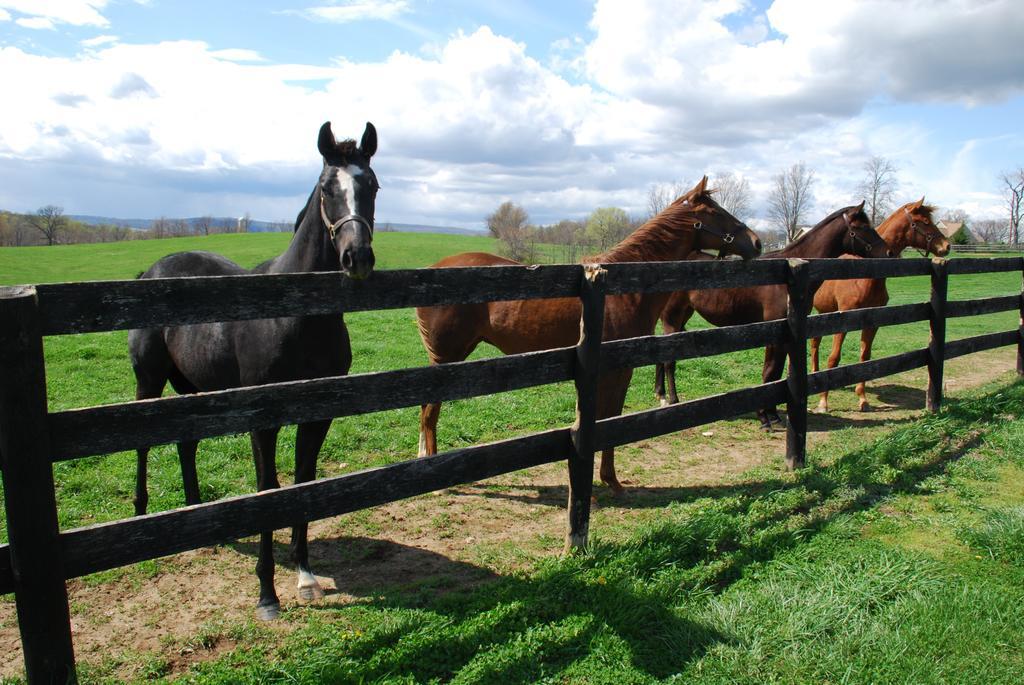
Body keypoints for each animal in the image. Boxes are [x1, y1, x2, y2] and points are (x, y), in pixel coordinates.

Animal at [128, 120, 380, 618]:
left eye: (374, 186)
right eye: (328, 188)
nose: (357, 258)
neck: (296, 316)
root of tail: (153, 269)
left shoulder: (318, 414)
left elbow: (303, 480)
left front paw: (304, 574)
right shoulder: (263, 419)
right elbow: (268, 487)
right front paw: (267, 592)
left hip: (195, 389)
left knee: (186, 444)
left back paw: (200, 519)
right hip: (149, 383)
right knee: (145, 444)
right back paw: (142, 513)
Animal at [413, 178, 761, 491]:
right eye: (716, 212)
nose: (756, 242)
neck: (624, 288)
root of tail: (430, 271)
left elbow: (612, 417)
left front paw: (609, 479)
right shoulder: (614, 370)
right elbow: (608, 420)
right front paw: (609, 480)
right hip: (446, 359)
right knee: (430, 411)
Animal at [655, 200, 888, 430]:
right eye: (862, 226)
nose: (886, 252)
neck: (786, 279)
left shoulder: (785, 335)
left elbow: (777, 372)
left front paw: (773, 415)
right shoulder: (772, 332)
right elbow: (769, 372)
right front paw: (764, 418)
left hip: (683, 316)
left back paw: (661, 395)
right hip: (672, 318)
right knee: (668, 360)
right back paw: (673, 400)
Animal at [806, 197, 950, 411]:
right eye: (924, 221)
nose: (946, 246)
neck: (865, 275)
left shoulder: (872, 322)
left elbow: (865, 358)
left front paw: (862, 399)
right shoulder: (843, 320)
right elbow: (834, 358)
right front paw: (823, 402)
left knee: (815, 340)